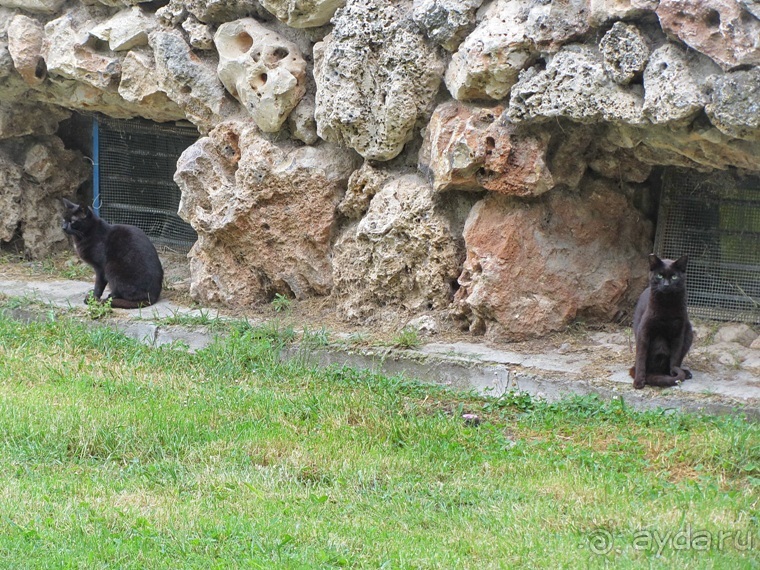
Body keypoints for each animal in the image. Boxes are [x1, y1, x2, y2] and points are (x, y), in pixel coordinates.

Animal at [628, 255, 696, 388]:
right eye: (660, 275)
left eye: (674, 277)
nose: (666, 285)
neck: (667, 306)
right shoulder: (644, 331)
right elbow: (641, 357)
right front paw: (639, 381)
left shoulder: (679, 332)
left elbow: (675, 358)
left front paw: (674, 375)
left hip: (689, 333)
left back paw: (684, 373)